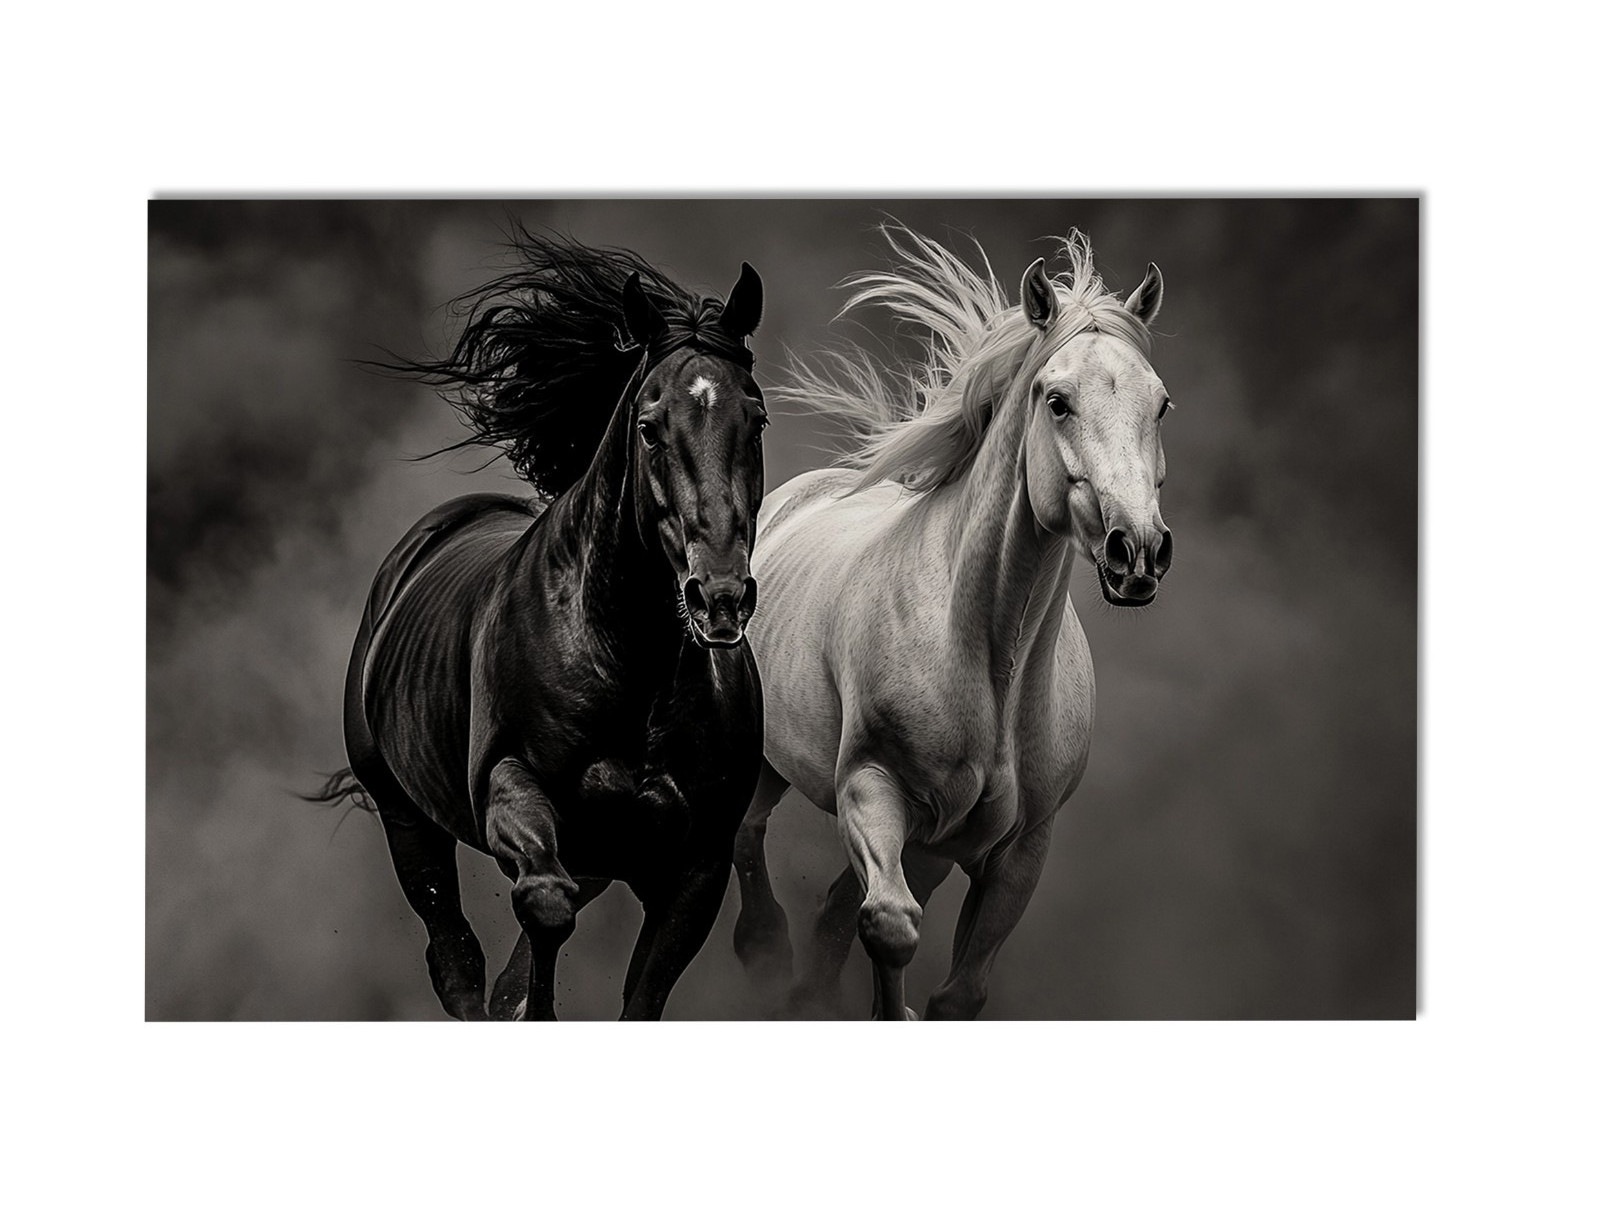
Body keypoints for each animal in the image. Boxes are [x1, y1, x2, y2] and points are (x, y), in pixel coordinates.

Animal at [312, 231, 770, 1020]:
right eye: (649, 427)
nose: (719, 597)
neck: (633, 673)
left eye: (758, 420)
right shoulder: (513, 787)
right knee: (456, 958)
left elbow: (636, 993)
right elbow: (544, 909)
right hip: (406, 815)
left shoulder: (695, 868)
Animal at [730, 225, 1173, 1019]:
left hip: (935, 844)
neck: (988, 658)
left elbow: (958, 989)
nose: (1139, 551)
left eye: (1160, 405)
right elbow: (890, 924)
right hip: (769, 764)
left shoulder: (1019, 848)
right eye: (1057, 400)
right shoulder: (870, 787)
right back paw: (767, 953)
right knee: (751, 840)